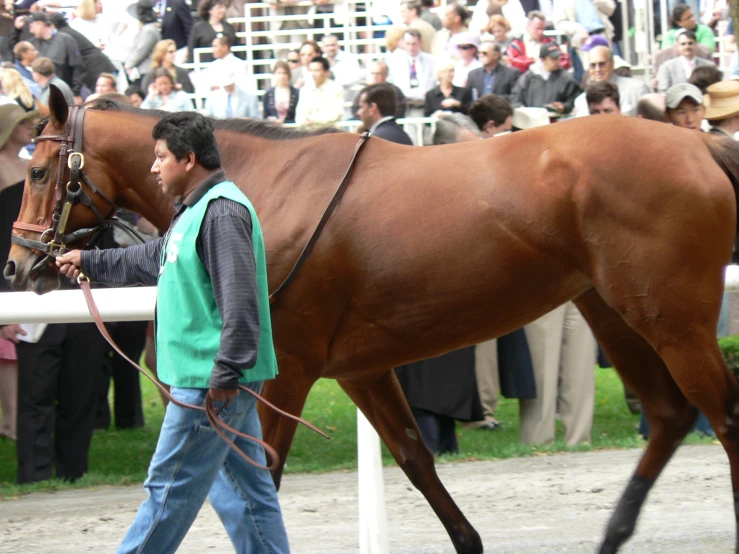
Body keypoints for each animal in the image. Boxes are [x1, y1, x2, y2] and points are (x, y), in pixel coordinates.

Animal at [4, 88, 739, 548]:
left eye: (37, 170)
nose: (17, 266)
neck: (260, 187)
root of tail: (699, 144)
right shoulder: (359, 369)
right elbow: (415, 457)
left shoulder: (286, 368)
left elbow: (266, 473)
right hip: (610, 309)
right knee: (670, 415)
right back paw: (613, 534)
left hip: (671, 319)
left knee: (723, 417)